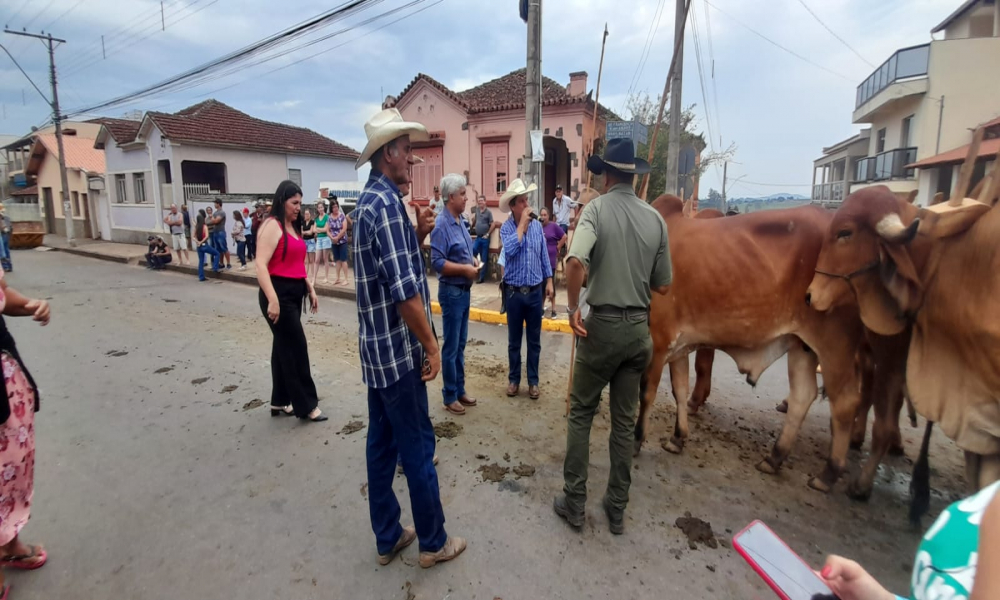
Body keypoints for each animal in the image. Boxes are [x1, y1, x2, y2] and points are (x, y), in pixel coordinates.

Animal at [640, 197, 868, 492]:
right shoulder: (677, 347)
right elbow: (679, 389)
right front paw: (677, 438)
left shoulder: (658, 340)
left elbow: (648, 392)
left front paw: (637, 441)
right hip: (802, 346)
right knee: (802, 396)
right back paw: (774, 458)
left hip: (835, 345)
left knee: (845, 402)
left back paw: (828, 473)